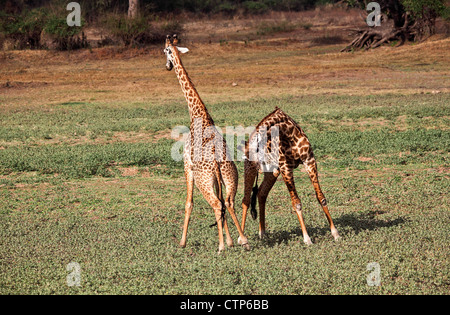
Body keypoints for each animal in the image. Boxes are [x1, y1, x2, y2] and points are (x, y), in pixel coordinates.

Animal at [164, 34, 250, 253]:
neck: (198, 114)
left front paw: (182, 242)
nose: (167, 66)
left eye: (164, 51)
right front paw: (230, 240)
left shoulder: (187, 166)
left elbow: (188, 203)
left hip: (204, 181)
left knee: (216, 204)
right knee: (228, 202)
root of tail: (218, 164)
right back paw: (242, 240)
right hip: (230, 177)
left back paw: (220, 246)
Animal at [241, 107, 340, 246]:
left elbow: (321, 197)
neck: (289, 133)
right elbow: (296, 203)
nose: (258, 167)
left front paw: (335, 233)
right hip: (252, 172)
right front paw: (307, 239)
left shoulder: (309, 160)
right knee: (245, 200)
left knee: (261, 193)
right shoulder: (286, 168)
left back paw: (262, 233)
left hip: (271, 172)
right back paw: (242, 239)